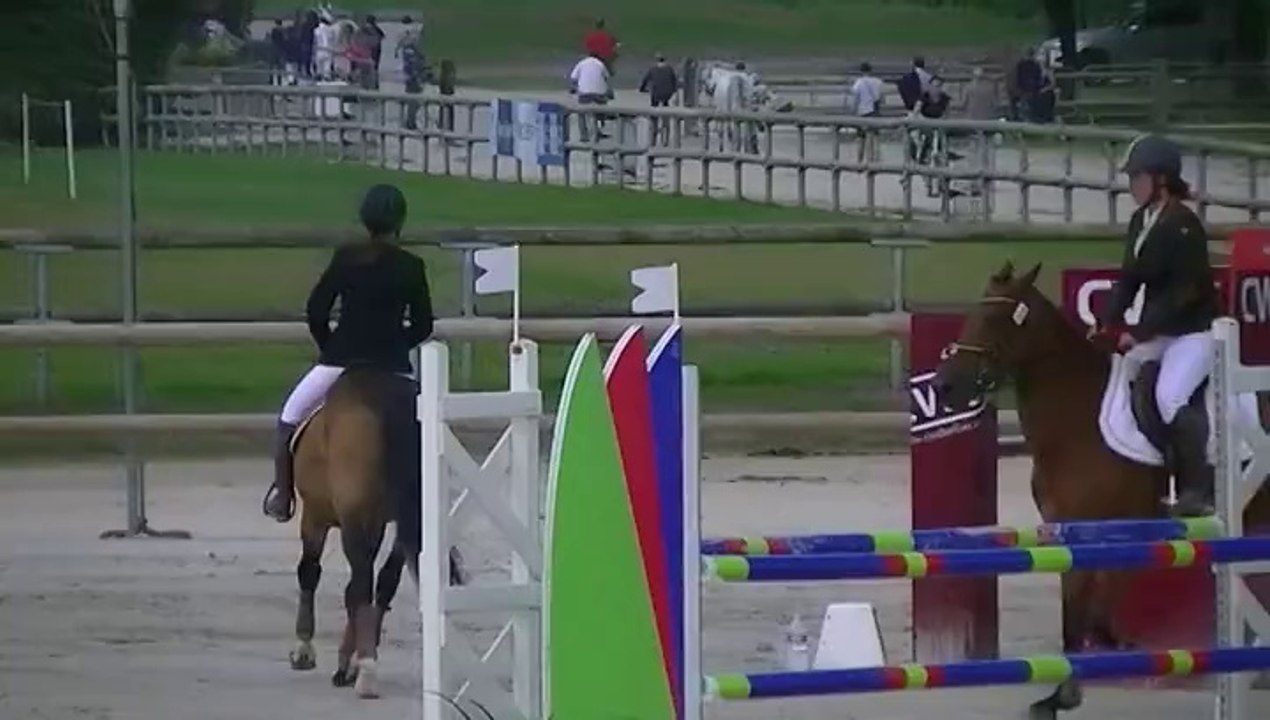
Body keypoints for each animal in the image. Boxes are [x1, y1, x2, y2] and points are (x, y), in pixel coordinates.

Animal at [284, 366, 465, 699]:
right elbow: (367, 587)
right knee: (381, 583)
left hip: (353, 519)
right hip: (406, 519)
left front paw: (304, 648)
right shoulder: (382, 522)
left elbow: (310, 572)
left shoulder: (316, 516)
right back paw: (357, 663)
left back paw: (364, 670)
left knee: (361, 584)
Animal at [933, 261, 1270, 719]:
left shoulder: (1095, 528)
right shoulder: (1075, 531)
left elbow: (1080, 614)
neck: (1077, 421)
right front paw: (1079, 675)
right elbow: (1086, 609)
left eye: (996, 318)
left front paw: (1065, 694)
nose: (945, 387)